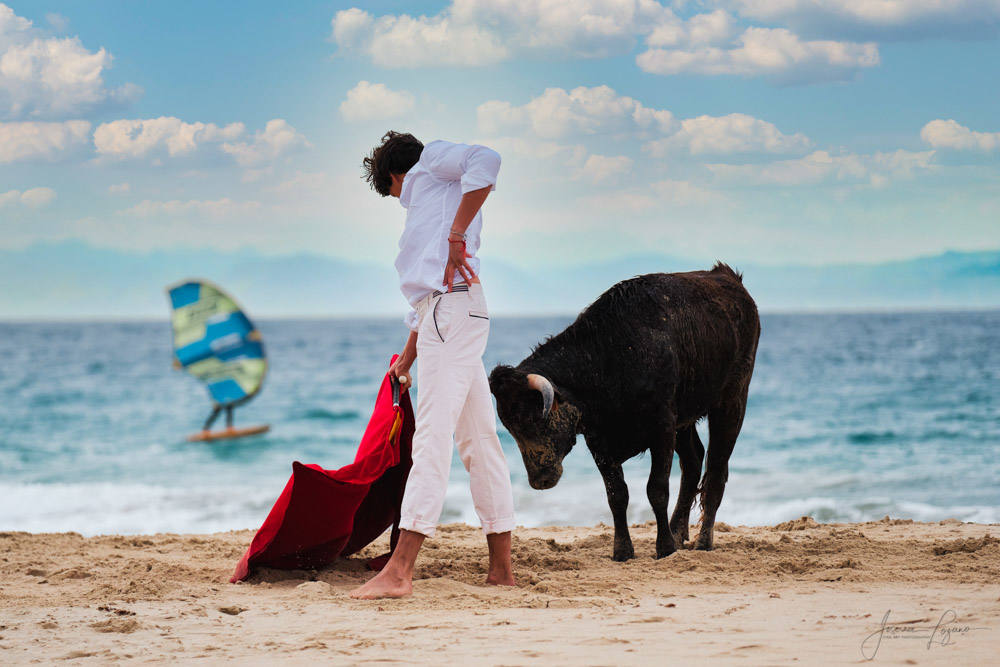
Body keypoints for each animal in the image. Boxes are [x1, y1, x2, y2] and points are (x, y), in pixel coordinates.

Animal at [490, 264, 756, 560]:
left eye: (532, 418)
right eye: (509, 426)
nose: (540, 480)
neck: (608, 357)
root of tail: (729, 278)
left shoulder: (662, 428)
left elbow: (656, 489)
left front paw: (664, 548)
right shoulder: (599, 440)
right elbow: (617, 494)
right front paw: (623, 551)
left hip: (732, 401)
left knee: (716, 469)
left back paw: (703, 541)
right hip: (685, 420)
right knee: (693, 462)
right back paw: (678, 532)